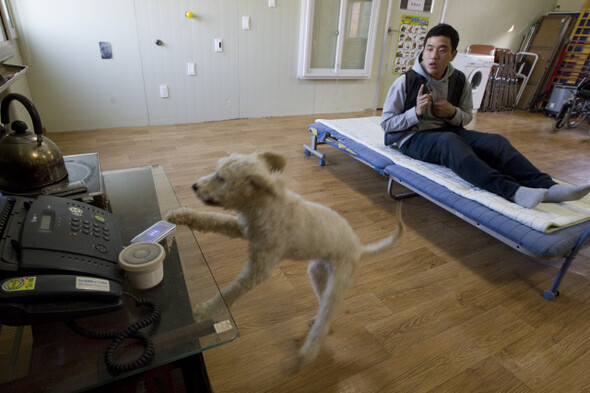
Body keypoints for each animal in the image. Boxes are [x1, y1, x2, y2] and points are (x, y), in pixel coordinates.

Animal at [169, 150, 404, 364]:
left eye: (221, 178)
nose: (194, 186)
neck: (264, 204)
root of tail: (358, 247)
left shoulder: (259, 269)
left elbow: (230, 292)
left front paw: (206, 310)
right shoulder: (240, 227)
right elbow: (211, 218)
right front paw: (181, 215)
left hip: (337, 283)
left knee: (328, 312)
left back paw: (308, 352)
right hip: (317, 272)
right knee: (323, 308)